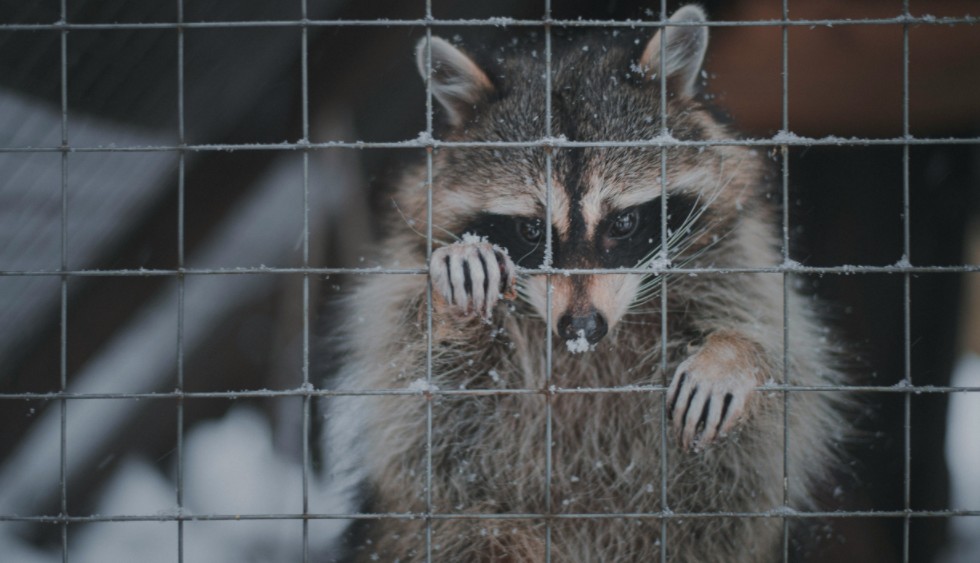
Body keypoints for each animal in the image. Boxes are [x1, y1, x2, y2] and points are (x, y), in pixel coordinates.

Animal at [320, 5, 844, 563]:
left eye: (623, 223)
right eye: (531, 230)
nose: (581, 328)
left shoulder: (733, 258)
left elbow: (784, 380)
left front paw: (733, 354)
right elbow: (415, 398)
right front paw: (453, 294)